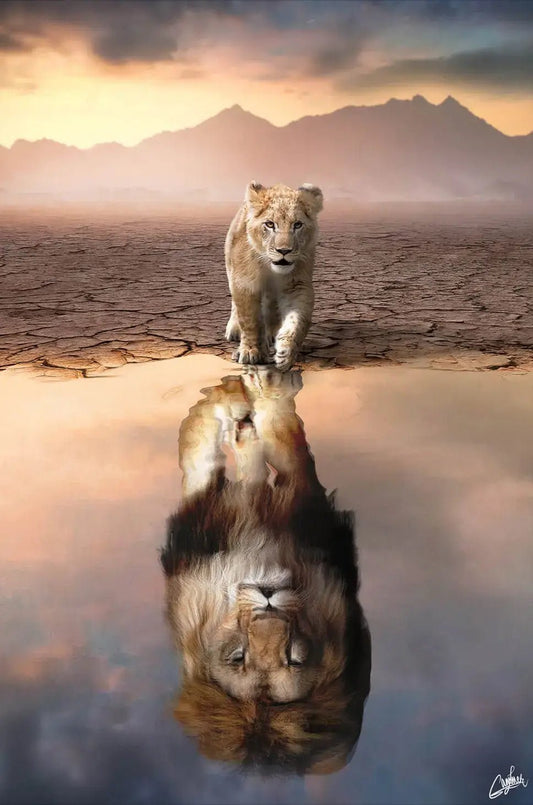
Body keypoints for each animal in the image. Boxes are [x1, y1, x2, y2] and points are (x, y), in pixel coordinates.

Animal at [160, 368, 371, 775]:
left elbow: (284, 436)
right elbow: (198, 452)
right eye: (237, 657)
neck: (260, 553)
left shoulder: (308, 508)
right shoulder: (201, 520)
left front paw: (268, 394)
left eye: (295, 658)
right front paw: (221, 405)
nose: (268, 599)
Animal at [224, 182, 323, 371]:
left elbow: (297, 320)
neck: (269, 267)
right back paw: (234, 329)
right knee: (235, 303)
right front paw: (250, 352)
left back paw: (271, 333)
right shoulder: (245, 282)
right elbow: (249, 319)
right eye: (270, 224)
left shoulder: (297, 285)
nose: (284, 251)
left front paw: (286, 353)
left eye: (297, 225)